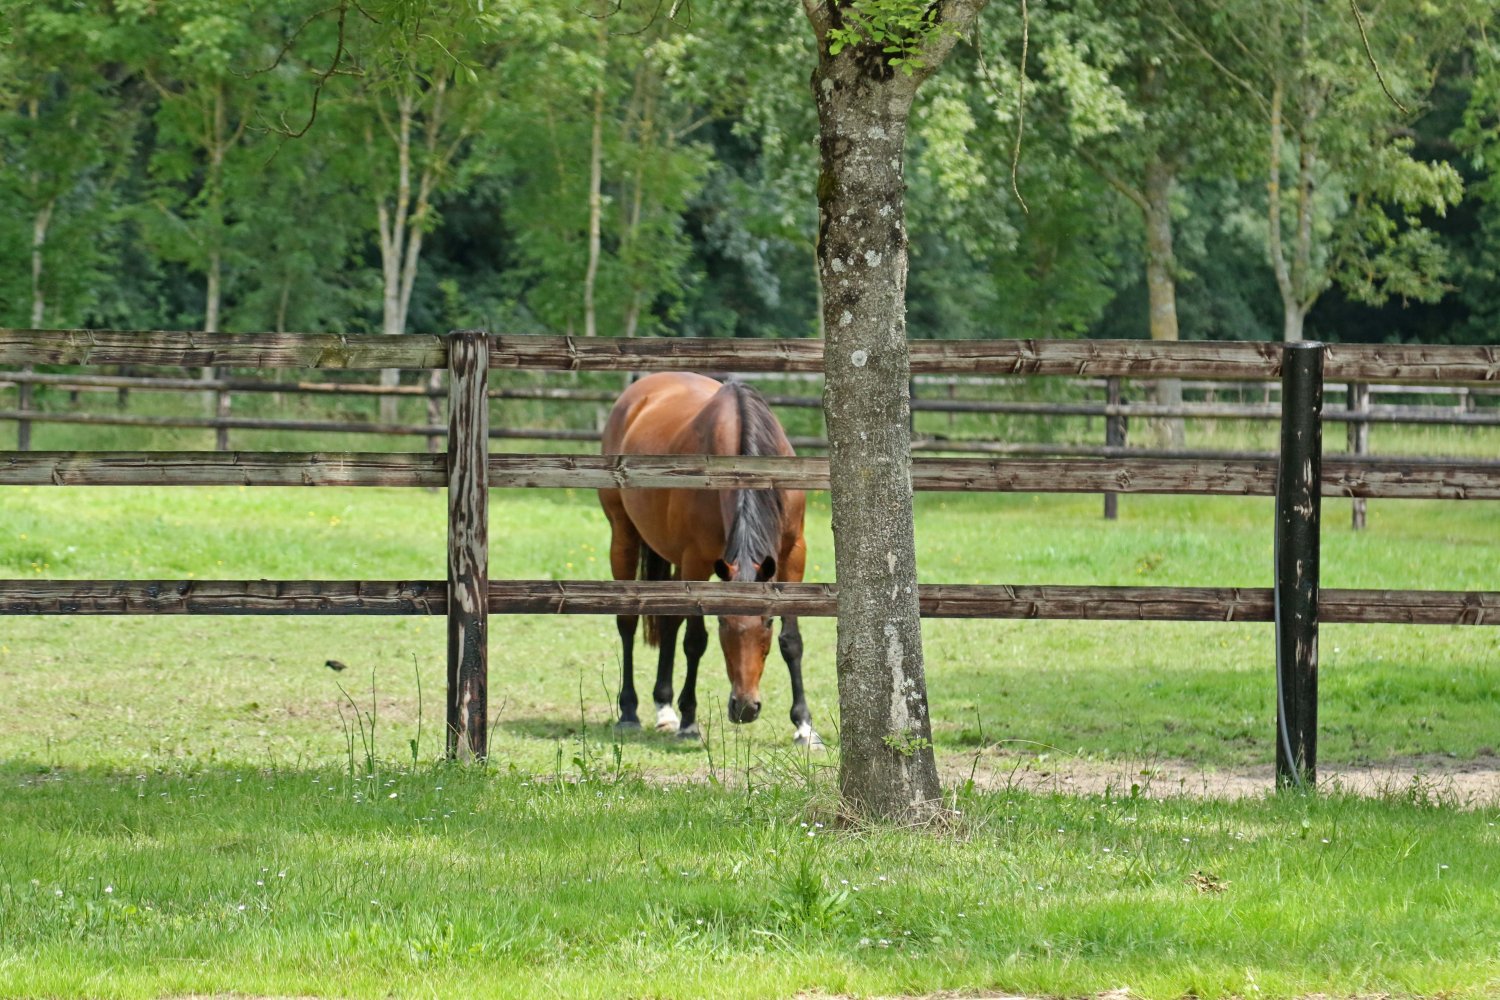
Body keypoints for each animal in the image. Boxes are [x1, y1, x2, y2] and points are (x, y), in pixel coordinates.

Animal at [598, 372, 820, 746]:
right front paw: (690, 721)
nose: (745, 708)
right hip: (624, 536)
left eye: (766, 623)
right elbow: (695, 641)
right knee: (627, 621)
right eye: (722, 623)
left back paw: (664, 709)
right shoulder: (696, 562)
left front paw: (804, 726)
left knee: (668, 620)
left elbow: (792, 641)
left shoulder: (793, 556)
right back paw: (629, 712)